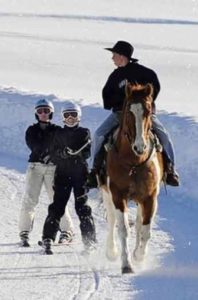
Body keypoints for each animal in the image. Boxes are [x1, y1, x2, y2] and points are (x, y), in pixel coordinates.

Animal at [100, 82, 164, 274]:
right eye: (129, 111)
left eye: (148, 111)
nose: (140, 146)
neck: (135, 163)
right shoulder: (117, 195)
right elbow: (123, 229)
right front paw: (126, 264)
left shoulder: (150, 197)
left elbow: (145, 230)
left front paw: (139, 256)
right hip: (107, 194)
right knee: (112, 220)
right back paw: (111, 251)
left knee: (138, 223)